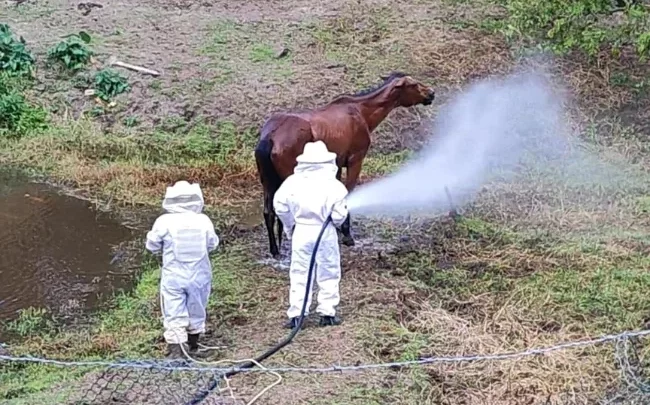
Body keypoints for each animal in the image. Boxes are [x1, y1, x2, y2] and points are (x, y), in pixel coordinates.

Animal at [256, 72, 432, 256]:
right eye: (413, 84)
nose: (431, 93)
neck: (361, 112)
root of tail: (270, 137)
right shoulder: (355, 160)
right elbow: (347, 194)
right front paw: (346, 234)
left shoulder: (338, 165)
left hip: (268, 182)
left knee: (269, 212)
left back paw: (275, 250)